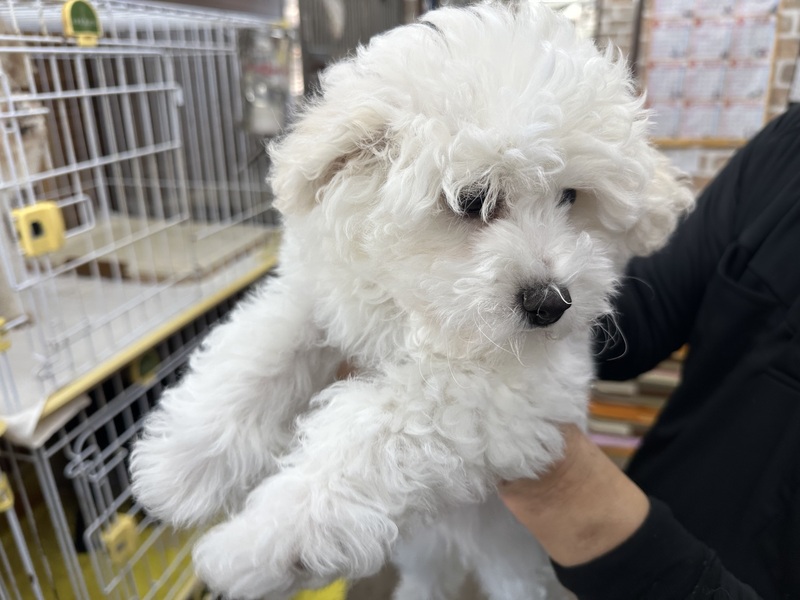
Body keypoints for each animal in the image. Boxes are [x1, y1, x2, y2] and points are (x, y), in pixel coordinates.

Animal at [130, 2, 694, 598]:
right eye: (473, 200)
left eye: (570, 197)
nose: (551, 302)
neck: (421, 309)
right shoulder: (321, 297)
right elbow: (258, 353)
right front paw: (178, 465)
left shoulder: (507, 396)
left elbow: (372, 431)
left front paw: (257, 542)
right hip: (428, 551)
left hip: (518, 561)